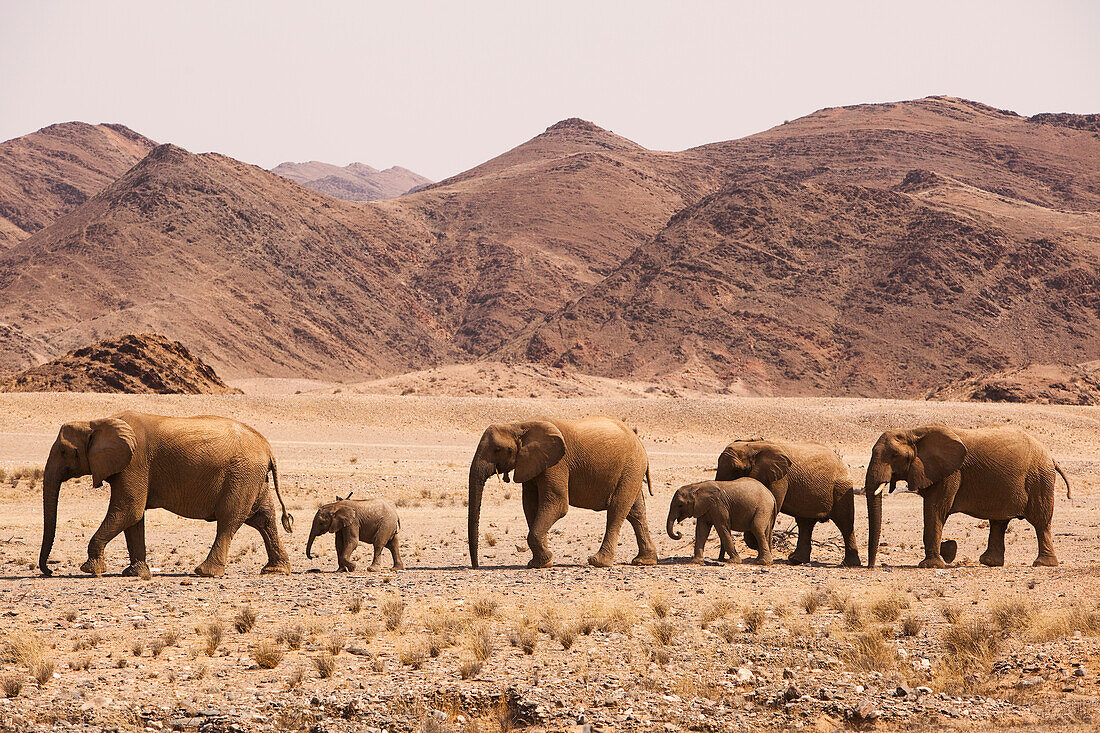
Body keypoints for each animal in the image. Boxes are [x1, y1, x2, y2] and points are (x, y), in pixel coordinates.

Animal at [41, 411, 294, 576]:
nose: (49, 571)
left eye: (64, 451)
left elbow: (128, 511)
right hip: (253, 477)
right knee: (263, 519)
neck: (96, 422)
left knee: (229, 521)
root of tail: (268, 447)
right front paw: (136, 573)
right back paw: (275, 570)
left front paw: (91, 570)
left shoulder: (135, 463)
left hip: (242, 475)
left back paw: (205, 572)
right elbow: (133, 519)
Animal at [468, 413, 655, 567]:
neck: (519, 425)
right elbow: (530, 506)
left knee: (617, 508)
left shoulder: (557, 464)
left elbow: (557, 505)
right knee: (636, 512)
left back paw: (598, 562)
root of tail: (639, 441)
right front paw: (540, 563)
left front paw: (544, 561)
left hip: (631, 467)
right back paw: (644, 561)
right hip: (631, 470)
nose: (476, 566)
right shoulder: (531, 463)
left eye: (497, 449)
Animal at [712, 440, 858, 563]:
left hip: (841, 488)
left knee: (845, 523)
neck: (753, 446)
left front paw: (758, 548)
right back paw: (796, 560)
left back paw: (848, 564)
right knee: (805, 524)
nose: (721, 560)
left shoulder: (780, 479)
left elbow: (774, 506)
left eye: (737, 470)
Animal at [862, 420, 1069, 567]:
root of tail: (1051, 457)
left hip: (1039, 479)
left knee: (1040, 521)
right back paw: (989, 562)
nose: (871, 566)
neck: (914, 432)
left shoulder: (951, 473)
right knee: (999, 522)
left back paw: (1043, 564)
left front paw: (930, 565)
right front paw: (947, 551)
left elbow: (935, 509)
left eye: (894, 456)